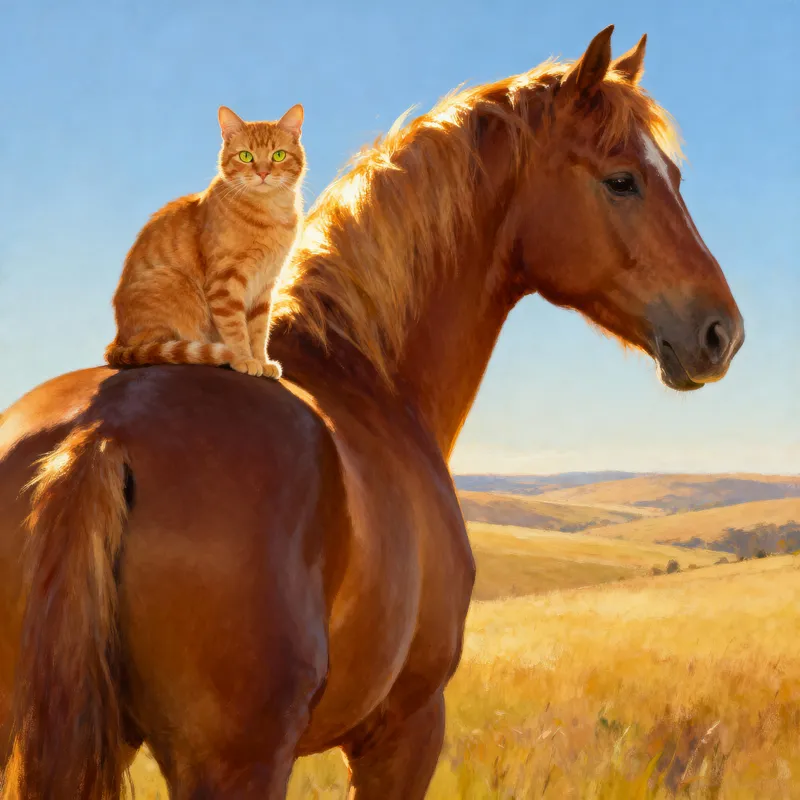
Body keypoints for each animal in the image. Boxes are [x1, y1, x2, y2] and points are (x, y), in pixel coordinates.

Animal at [0, 25, 744, 799]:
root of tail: (99, 435)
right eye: (622, 179)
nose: (722, 332)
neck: (365, 373)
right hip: (235, 761)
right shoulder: (406, 731)